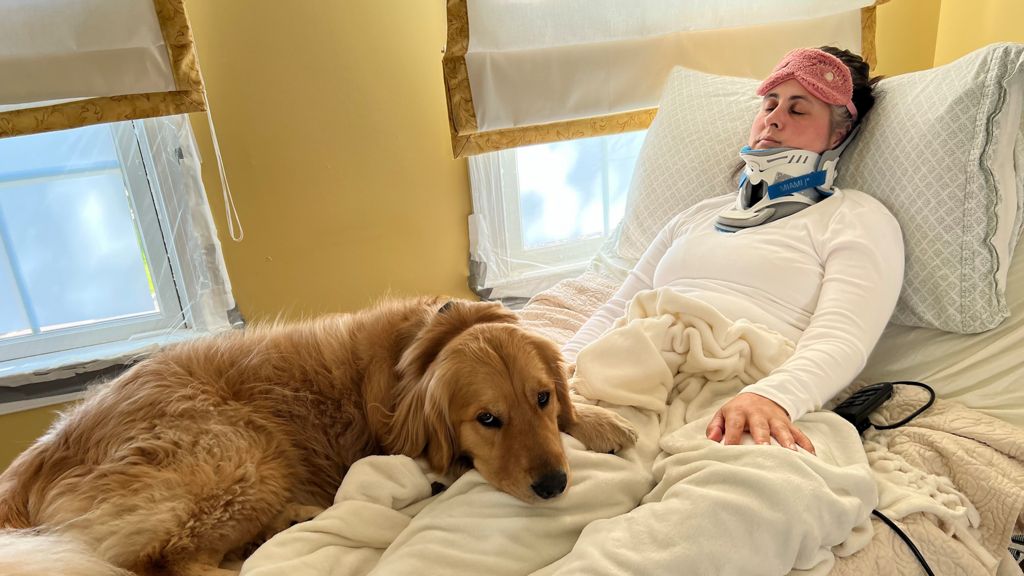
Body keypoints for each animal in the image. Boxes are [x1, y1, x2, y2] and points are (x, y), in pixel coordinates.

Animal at [0, 295, 634, 573]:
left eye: (542, 398)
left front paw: (598, 419)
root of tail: (33, 464)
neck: (420, 351)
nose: (553, 484)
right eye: (487, 420)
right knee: (174, 562)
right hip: (242, 452)